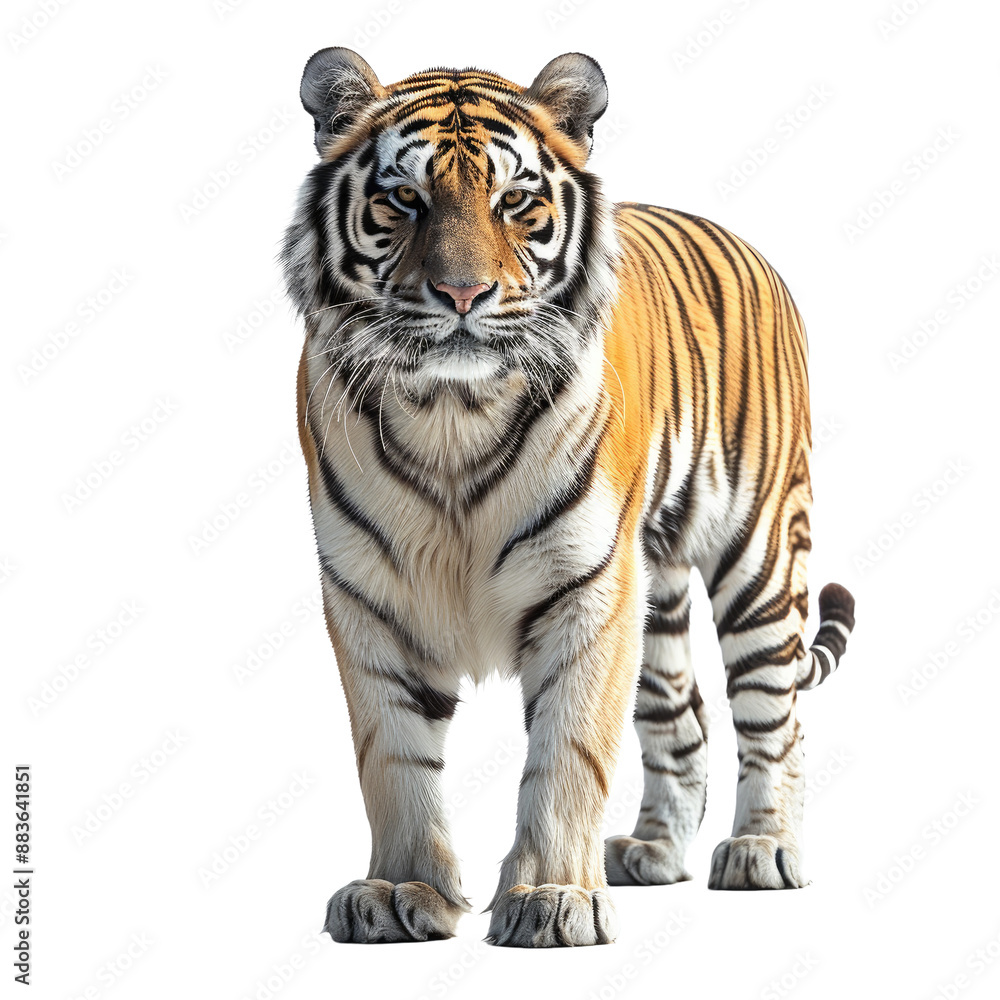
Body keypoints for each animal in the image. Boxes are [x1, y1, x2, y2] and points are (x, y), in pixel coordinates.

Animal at [282, 47, 856, 949]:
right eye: (403, 199)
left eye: (515, 201)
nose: (462, 295)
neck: (452, 413)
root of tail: (744, 241)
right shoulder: (367, 593)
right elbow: (392, 756)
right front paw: (400, 891)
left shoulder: (585, 589)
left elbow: (568, 752)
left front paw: (554, 899)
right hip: (654, 593)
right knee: (682, 719)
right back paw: (654, 853)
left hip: (762, 552)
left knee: (775, 711)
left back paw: (763, 849)